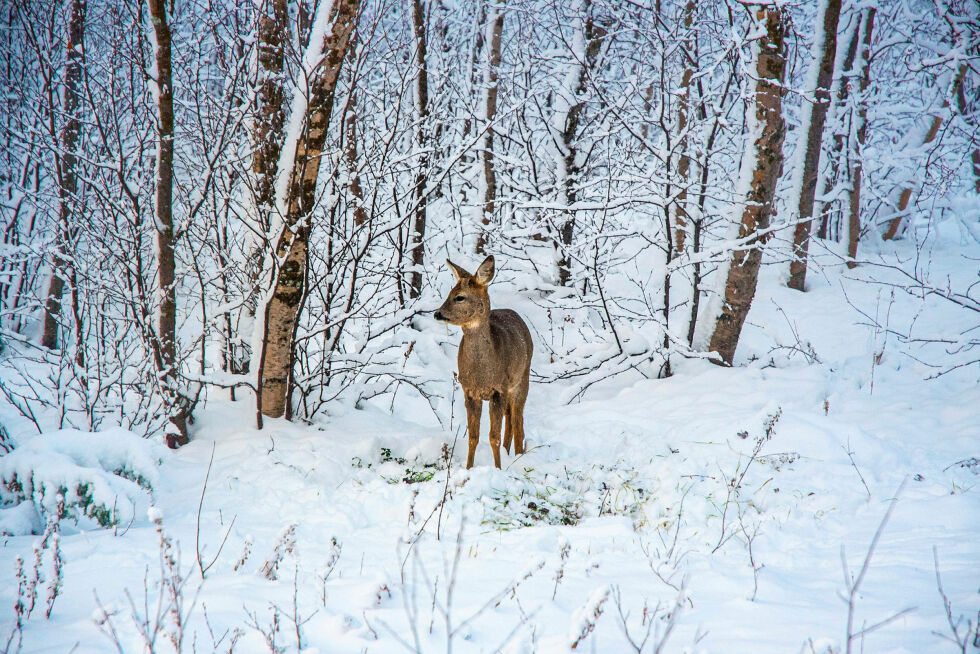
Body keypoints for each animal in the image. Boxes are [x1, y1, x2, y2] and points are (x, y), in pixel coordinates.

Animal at [432, 255, 532, 466]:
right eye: (449, 293)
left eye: (459, 297)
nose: (437, 313)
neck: (482, 372)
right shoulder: (469, 390)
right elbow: (473, 436)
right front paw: (469, 467)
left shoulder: (498, 389)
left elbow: (493, 436)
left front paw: (498, 468)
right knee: (510, 420)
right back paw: (508, 453)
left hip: (522, 379)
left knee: (517, 420)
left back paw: (518, 456)